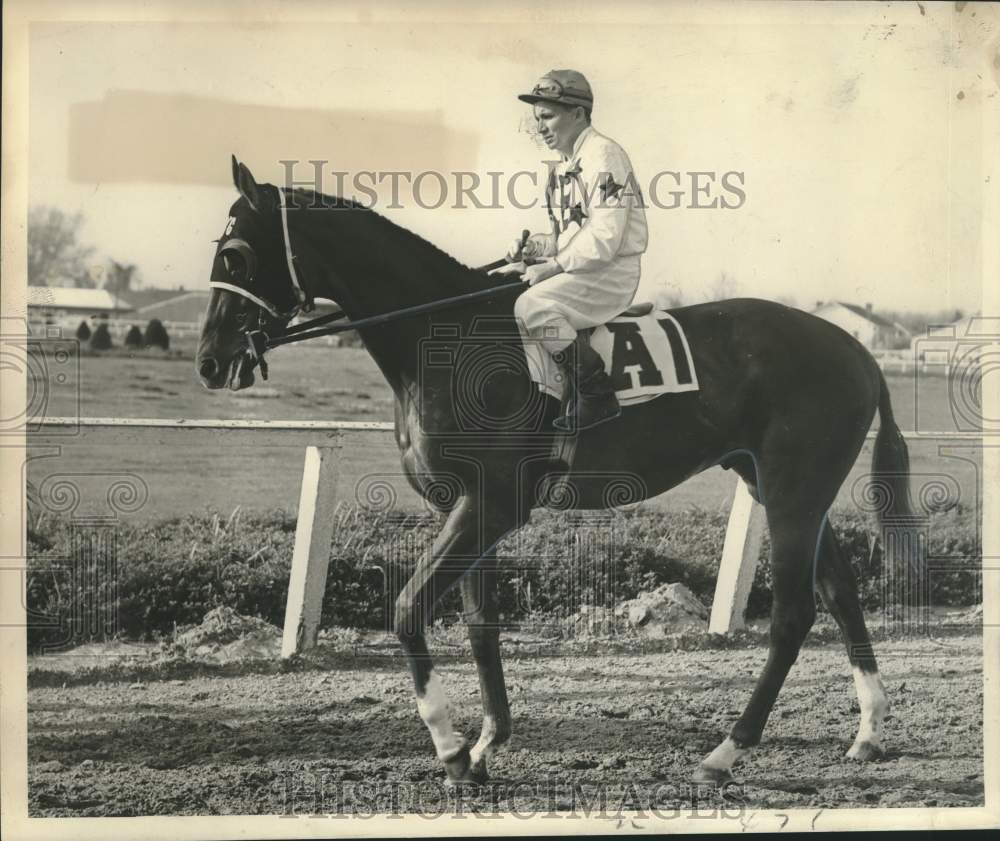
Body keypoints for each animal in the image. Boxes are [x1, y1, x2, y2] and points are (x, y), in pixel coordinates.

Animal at [193, 158, 916, 788]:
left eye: (237, 255)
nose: (209, 361)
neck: (445, 337)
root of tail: (857, 350)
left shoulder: (491, 505)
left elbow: (406, 609)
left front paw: (451, 747)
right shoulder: (463, 508)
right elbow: (481, 627)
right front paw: (484, 746)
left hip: (793, 489)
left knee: (794, 615)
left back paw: (724, 753)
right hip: (781, 485)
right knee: (840, 591)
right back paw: (869, 730)